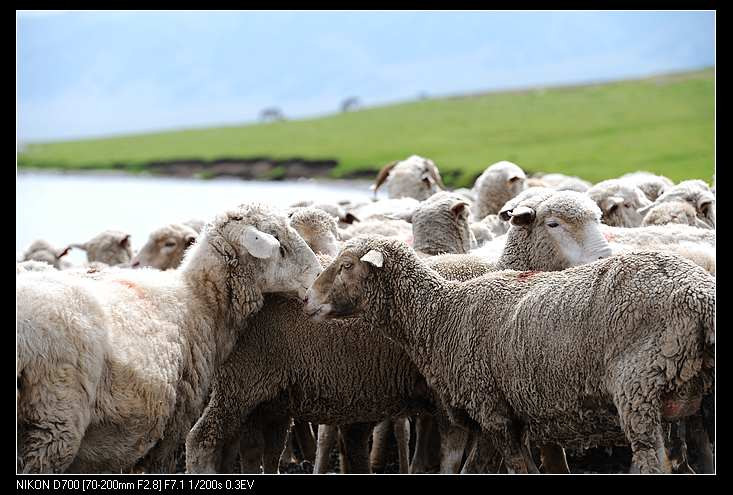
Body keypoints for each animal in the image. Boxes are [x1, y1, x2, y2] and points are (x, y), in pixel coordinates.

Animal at [304, 238, 716, 474]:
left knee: (652, 461)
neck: (440, 316)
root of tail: (700, 295)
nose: (306, 299)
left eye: (346, 266)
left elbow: (517, 470)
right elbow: (478, 470)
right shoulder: (497, 417)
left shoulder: (494, 412)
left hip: (639, 389)